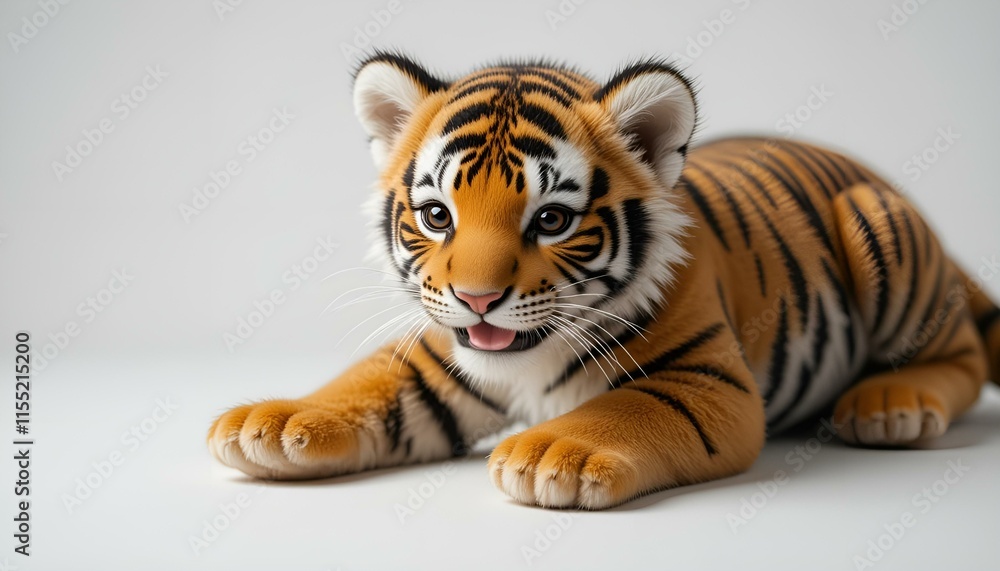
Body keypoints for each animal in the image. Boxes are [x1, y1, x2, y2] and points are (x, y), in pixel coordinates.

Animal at [207, 52, 1000, 509]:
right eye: (437, 216)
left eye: (552, 219)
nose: (476, 299)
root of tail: (869, 171)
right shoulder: (437, 359)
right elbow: (365, 384)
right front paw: (271, 422)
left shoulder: (705, 381)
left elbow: (627, 406)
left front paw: (553, 452)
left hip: (879, 231)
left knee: (960, 352)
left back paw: (891, 405)